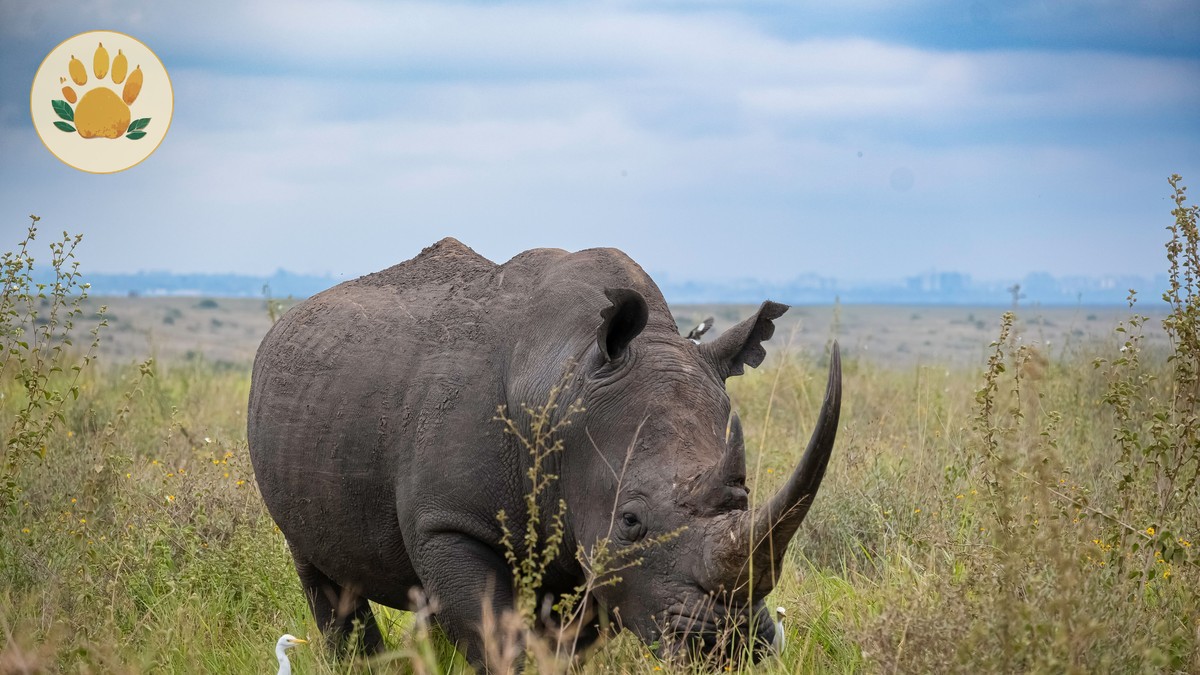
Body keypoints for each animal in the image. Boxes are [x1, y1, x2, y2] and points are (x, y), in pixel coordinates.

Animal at [247, 239, 841, 670]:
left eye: (746, 497)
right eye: (631, 521)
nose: (728, 646)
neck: (566, 377)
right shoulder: (450, 522)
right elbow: (493, 637)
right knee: (319, 568)